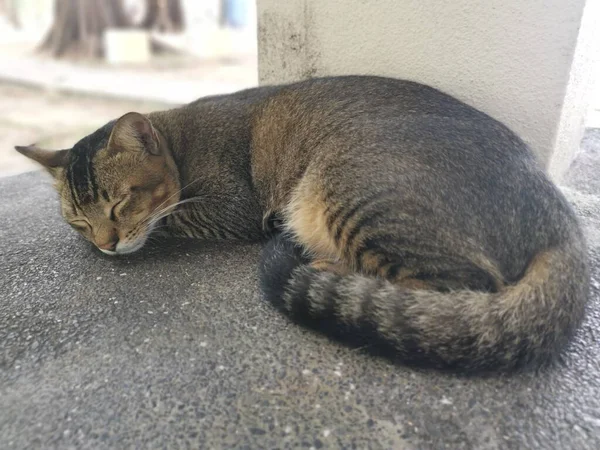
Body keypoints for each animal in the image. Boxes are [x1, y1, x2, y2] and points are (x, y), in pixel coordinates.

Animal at [16, 75, 588, 372]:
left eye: (120, 205)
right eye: (78, 221)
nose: (106, 245)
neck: (180, 141)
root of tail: (558, 215)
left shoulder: (230, 205)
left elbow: (173, 218)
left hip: (350, 186)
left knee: (458, 290)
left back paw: (324, 265)